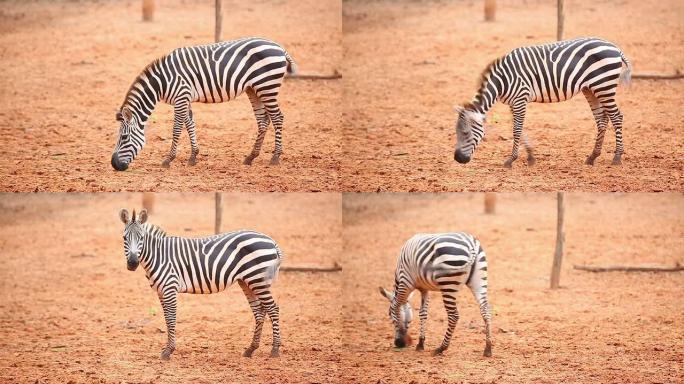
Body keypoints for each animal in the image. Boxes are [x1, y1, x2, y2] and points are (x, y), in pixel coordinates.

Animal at [110, 36, 296, 172]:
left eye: (124, 137)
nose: (115, 165)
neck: (162, 82)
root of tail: (279, 47)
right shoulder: (184, 98)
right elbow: (190, 124)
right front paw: (193, 156)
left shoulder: (181, 97)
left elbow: (177, 128)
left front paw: (168, 159)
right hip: (254, 89)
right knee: (263, 121)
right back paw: (251, 157)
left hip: (267, 86)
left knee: (277, 117)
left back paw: (275, 157)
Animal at [120, 208, 284, 358]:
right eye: (124, 238)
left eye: (141, 238)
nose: (132, 263)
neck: (159, 255)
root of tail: (271, 240)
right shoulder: (161, 291)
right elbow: (167, 318)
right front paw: (168, 348)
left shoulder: (170, 288)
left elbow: (171, 318)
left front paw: (168, 351)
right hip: (247, 281)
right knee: (259, 311)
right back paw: (251, 349)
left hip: (258, 279)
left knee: (273, 308)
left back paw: (275, 349)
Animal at [454, 36, 632, 167]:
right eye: (456, 133)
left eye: (465, 133)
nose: (458, 159)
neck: (502, 81)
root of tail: (615, 47)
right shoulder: (514, 103)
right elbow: (519, 129)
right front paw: (530, 157)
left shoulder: (520, 99)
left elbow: (516, 129)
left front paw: (511, 160)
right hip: (591, 89)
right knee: (602, 119)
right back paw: (593, 157)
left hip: (604, 86)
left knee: (617, 117)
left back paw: (617, 157)